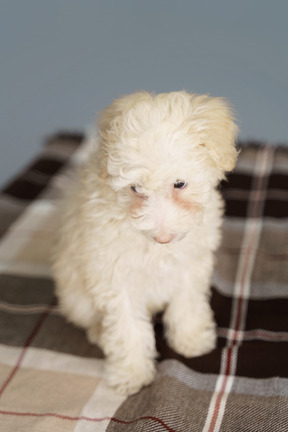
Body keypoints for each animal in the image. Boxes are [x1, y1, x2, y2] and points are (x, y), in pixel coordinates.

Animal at [52, 90, 238, 394]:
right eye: (136, 188)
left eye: (179, 184)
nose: (162, 238)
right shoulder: (114, 278)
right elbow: (127, 328)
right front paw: (131, 372)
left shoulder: (191, 264)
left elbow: (187, 303)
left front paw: (191, 338)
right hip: (76, 296)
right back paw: (99, 333)